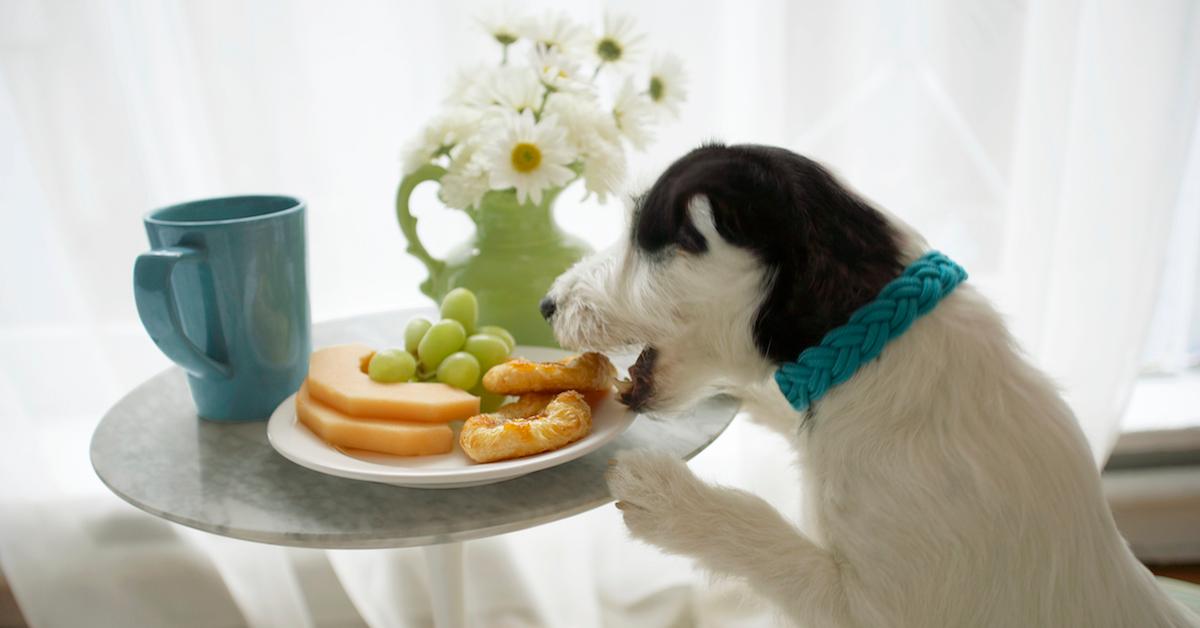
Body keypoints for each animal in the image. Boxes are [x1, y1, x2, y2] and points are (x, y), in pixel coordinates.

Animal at [544, 145, 1200, 624]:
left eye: (646, 240)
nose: (546, 304)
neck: (867, 344)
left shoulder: (869, 609)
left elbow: (768, 536)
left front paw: (667, 494)